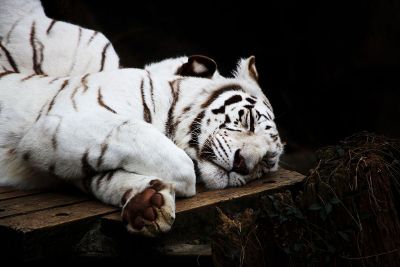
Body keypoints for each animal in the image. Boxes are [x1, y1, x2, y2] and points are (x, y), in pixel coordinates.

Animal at [0, 0, 282, 237]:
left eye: (266, 161)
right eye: (249, 121)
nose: (243, 164)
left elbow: (96, 175)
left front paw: (145, 204)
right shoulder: (56, 125)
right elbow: (180, 164)